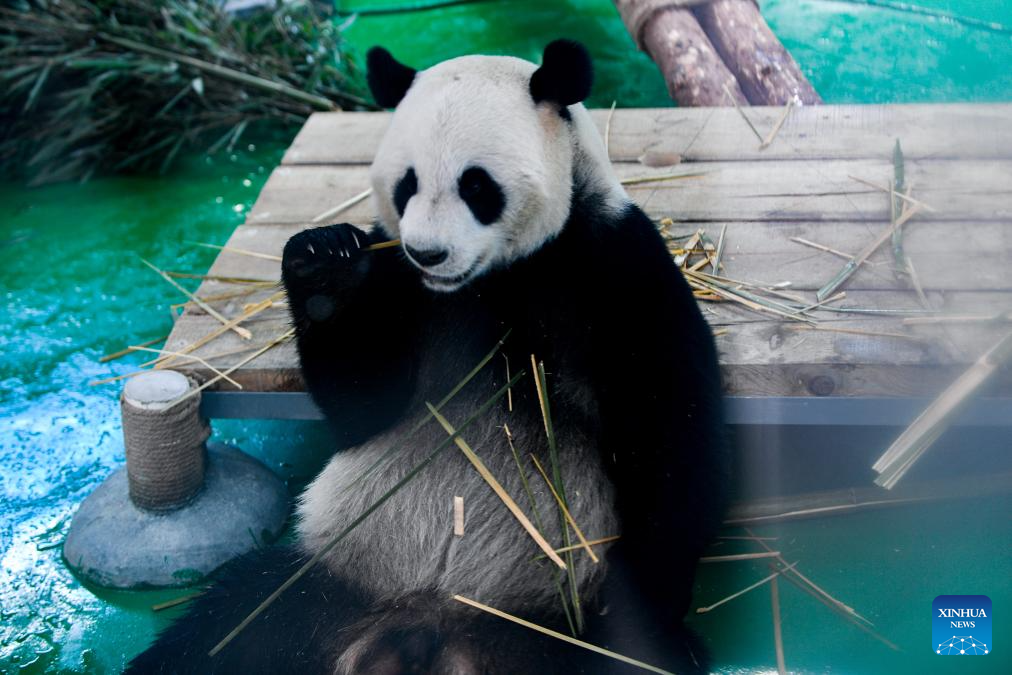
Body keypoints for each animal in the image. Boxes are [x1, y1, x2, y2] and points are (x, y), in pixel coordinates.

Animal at [128, 40, 728, 675]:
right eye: (406, 185)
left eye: (476, 186)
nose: (427, 252)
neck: (483, 283)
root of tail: (425, 629)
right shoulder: (398, 282)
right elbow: (362, 404)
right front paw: (323, 261)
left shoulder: (609, 263)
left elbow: (670, 432)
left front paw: (655, 609)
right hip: (326, 581)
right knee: (225, 627)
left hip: (542, 624)